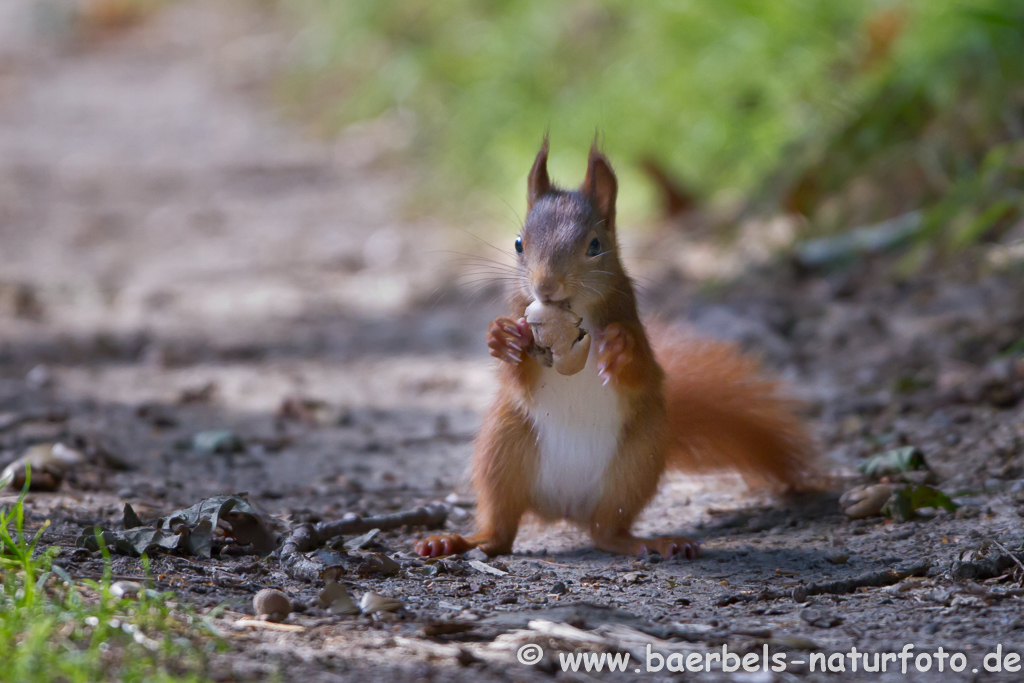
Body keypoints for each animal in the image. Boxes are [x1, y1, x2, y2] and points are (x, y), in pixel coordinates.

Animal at [411, 140, 819, 561]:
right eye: (518, 244)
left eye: (595, 245)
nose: (545, 286)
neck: (573, 315)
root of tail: (565, 509)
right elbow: (518, 380)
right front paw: (502, 337)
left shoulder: (635, 329)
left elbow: (641, 373)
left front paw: (620, 348)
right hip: (503, 448)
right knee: (501, 530)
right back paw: (453, 541)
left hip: (637, 461)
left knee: (607, 533)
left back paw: (655, 542)